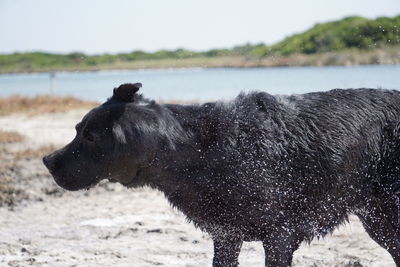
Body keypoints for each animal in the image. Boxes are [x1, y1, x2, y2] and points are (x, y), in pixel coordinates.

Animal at [43, 83, 400, 266]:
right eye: (77, 129)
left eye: (89, 136)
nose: (47, 161)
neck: (193, 150)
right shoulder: (227, 235)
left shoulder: (280, 236)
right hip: (379, 219)